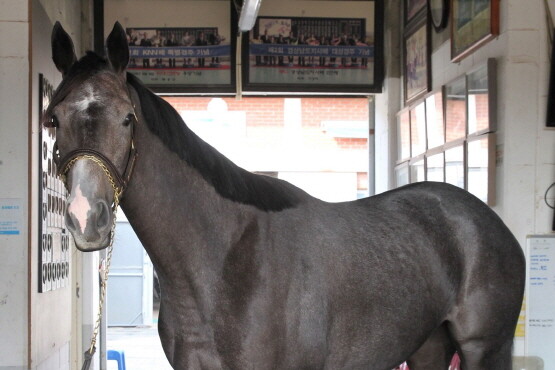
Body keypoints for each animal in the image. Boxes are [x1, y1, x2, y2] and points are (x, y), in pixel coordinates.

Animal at [47, 21, 524, 368]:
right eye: (53, 118)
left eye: (127, 118)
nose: (87, 218)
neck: (225, 261)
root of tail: (488, 221)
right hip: (427, 346)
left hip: (486, 349)